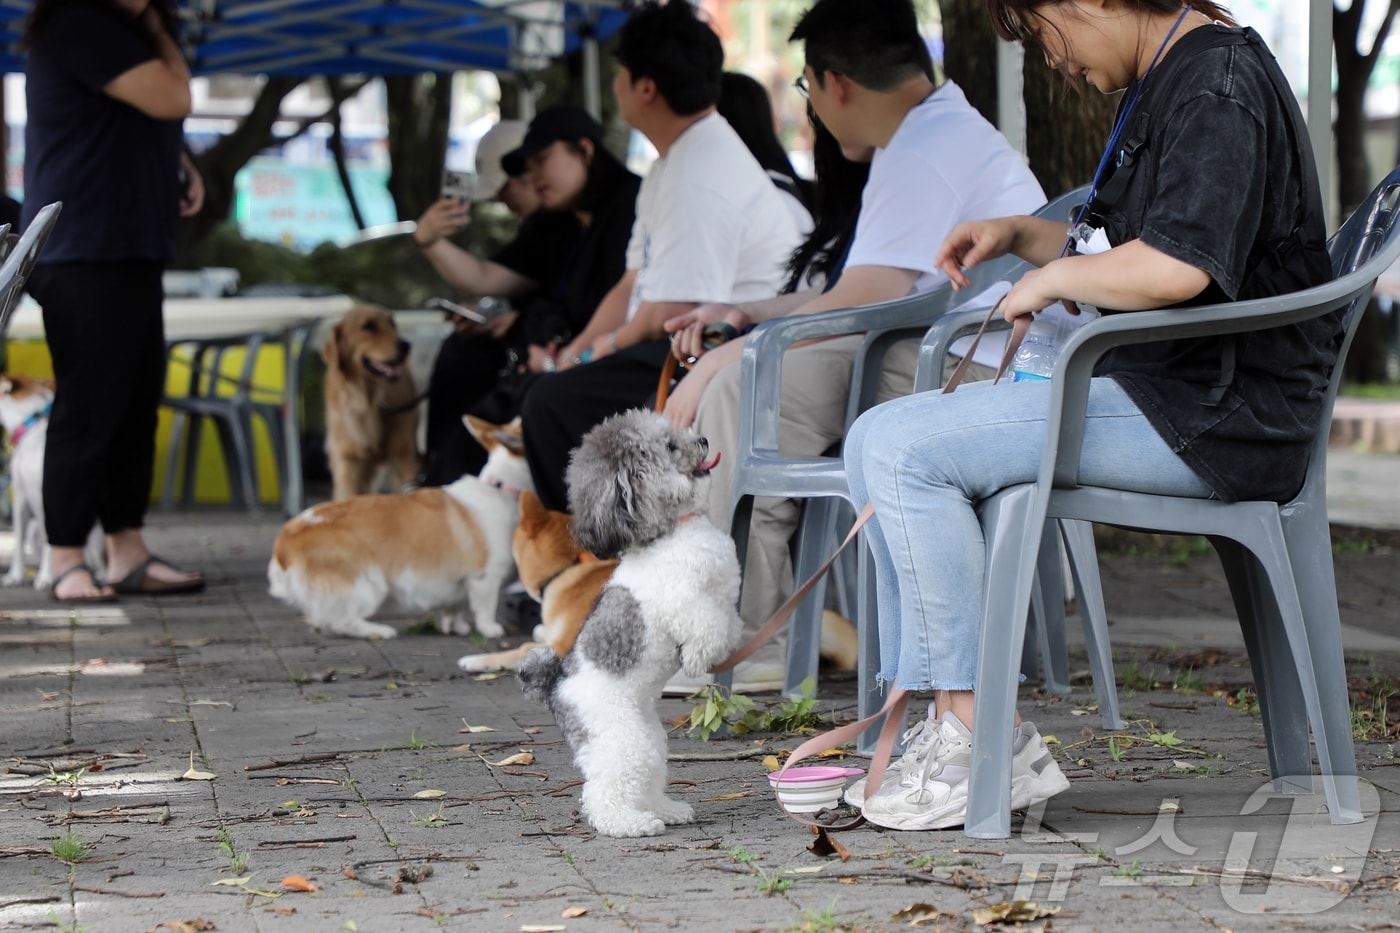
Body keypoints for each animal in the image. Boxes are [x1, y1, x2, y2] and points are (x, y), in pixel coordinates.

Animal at [0, 372, 103, 585]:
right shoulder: (20, 499)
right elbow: (18, 542)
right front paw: (15, 575)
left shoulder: (49, 500)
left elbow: (51, 543)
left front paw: (45, 577)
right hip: (34, 531)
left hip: (93, 540)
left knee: (99, 563)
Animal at [266, 414, 529, 638]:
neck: (503, 490)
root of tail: (283, 543)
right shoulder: (484, 578)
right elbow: (485, 608)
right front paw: (490, 630)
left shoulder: (460, 586)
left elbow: (456, 610)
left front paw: (458, 628)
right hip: (369, 584)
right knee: (344, 620)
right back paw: (379, 631)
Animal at [520, 406, 744, 834]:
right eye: (670, 446)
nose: (703, 440)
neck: (673, 531)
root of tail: (556, 685)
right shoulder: (684, 601)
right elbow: (705, 626)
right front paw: (696, 660)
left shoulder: (724, 594)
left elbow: (727, 623)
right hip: (622, 738)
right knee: (603, 792)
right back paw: (630, 823)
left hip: (649, 735)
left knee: (647, 777)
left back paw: (664, 810)